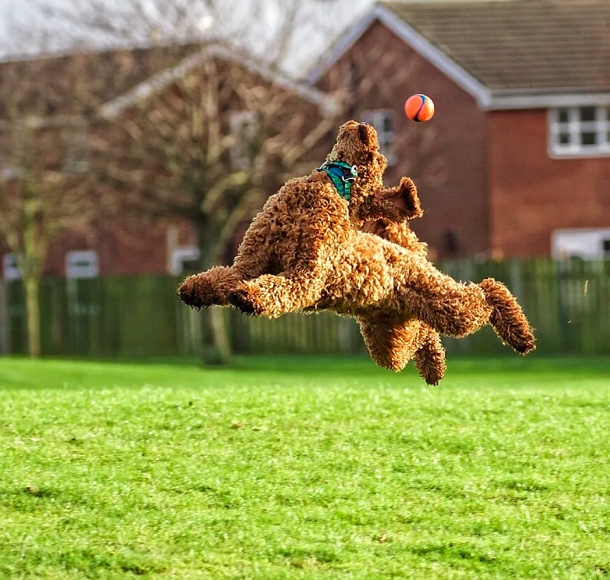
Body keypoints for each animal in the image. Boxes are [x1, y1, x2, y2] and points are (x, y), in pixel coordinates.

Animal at [178, 120, 536, 380]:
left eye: (379, 158)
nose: (364, 126)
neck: (334, 185)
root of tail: (405, 250)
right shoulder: (249, 263)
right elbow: (221, 277)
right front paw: (194, 289)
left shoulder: (306, 276)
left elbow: (278, 288)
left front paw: (249, 297)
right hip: (389, 338)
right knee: (421, 336)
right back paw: (434, 366)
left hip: (443, 305)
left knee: (486, 292)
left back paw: (519, 334)